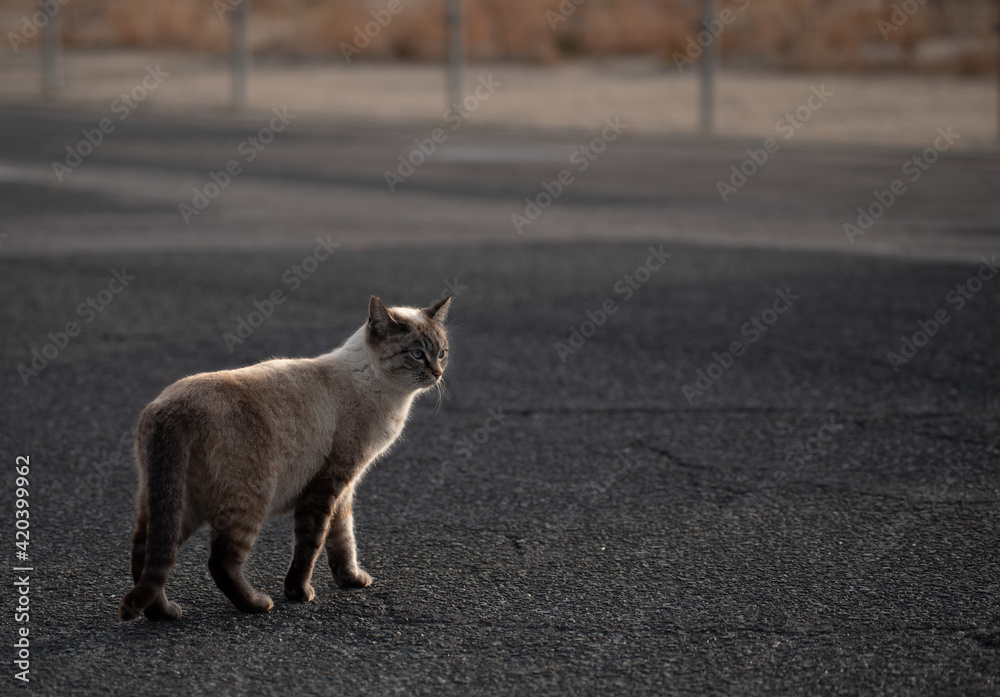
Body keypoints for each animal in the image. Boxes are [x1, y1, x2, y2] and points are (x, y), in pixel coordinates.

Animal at [119, 294, 452, 620]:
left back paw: (161, 613)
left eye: (442, 353)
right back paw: (257, 604)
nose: (438, 374)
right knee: (220, 561)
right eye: (417, 354)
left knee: (147, 552)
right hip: (251, 497)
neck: (387, 394)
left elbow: (344, 539)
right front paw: (299, 593)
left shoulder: (345, 488)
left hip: (176, 504)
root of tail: (169, 408)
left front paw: (351, 580)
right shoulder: (329, 483)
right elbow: (312, 543)